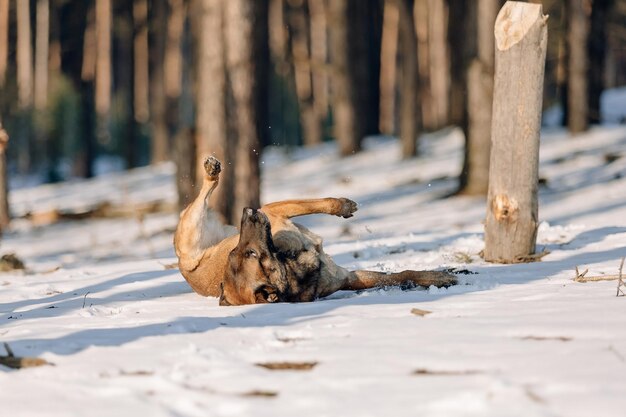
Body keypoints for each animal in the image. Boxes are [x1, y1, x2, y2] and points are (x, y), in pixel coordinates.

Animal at [173, 154, 456, 304]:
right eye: (250, 254)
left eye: (236, 252)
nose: (248, 212)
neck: (290, 261)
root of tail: (185, 266)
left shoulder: (347, 276)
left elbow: (403, 274)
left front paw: (436, 277)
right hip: (191, 226)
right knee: (204, 192)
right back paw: (211, 172)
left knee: (207, 192)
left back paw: (212, 168)